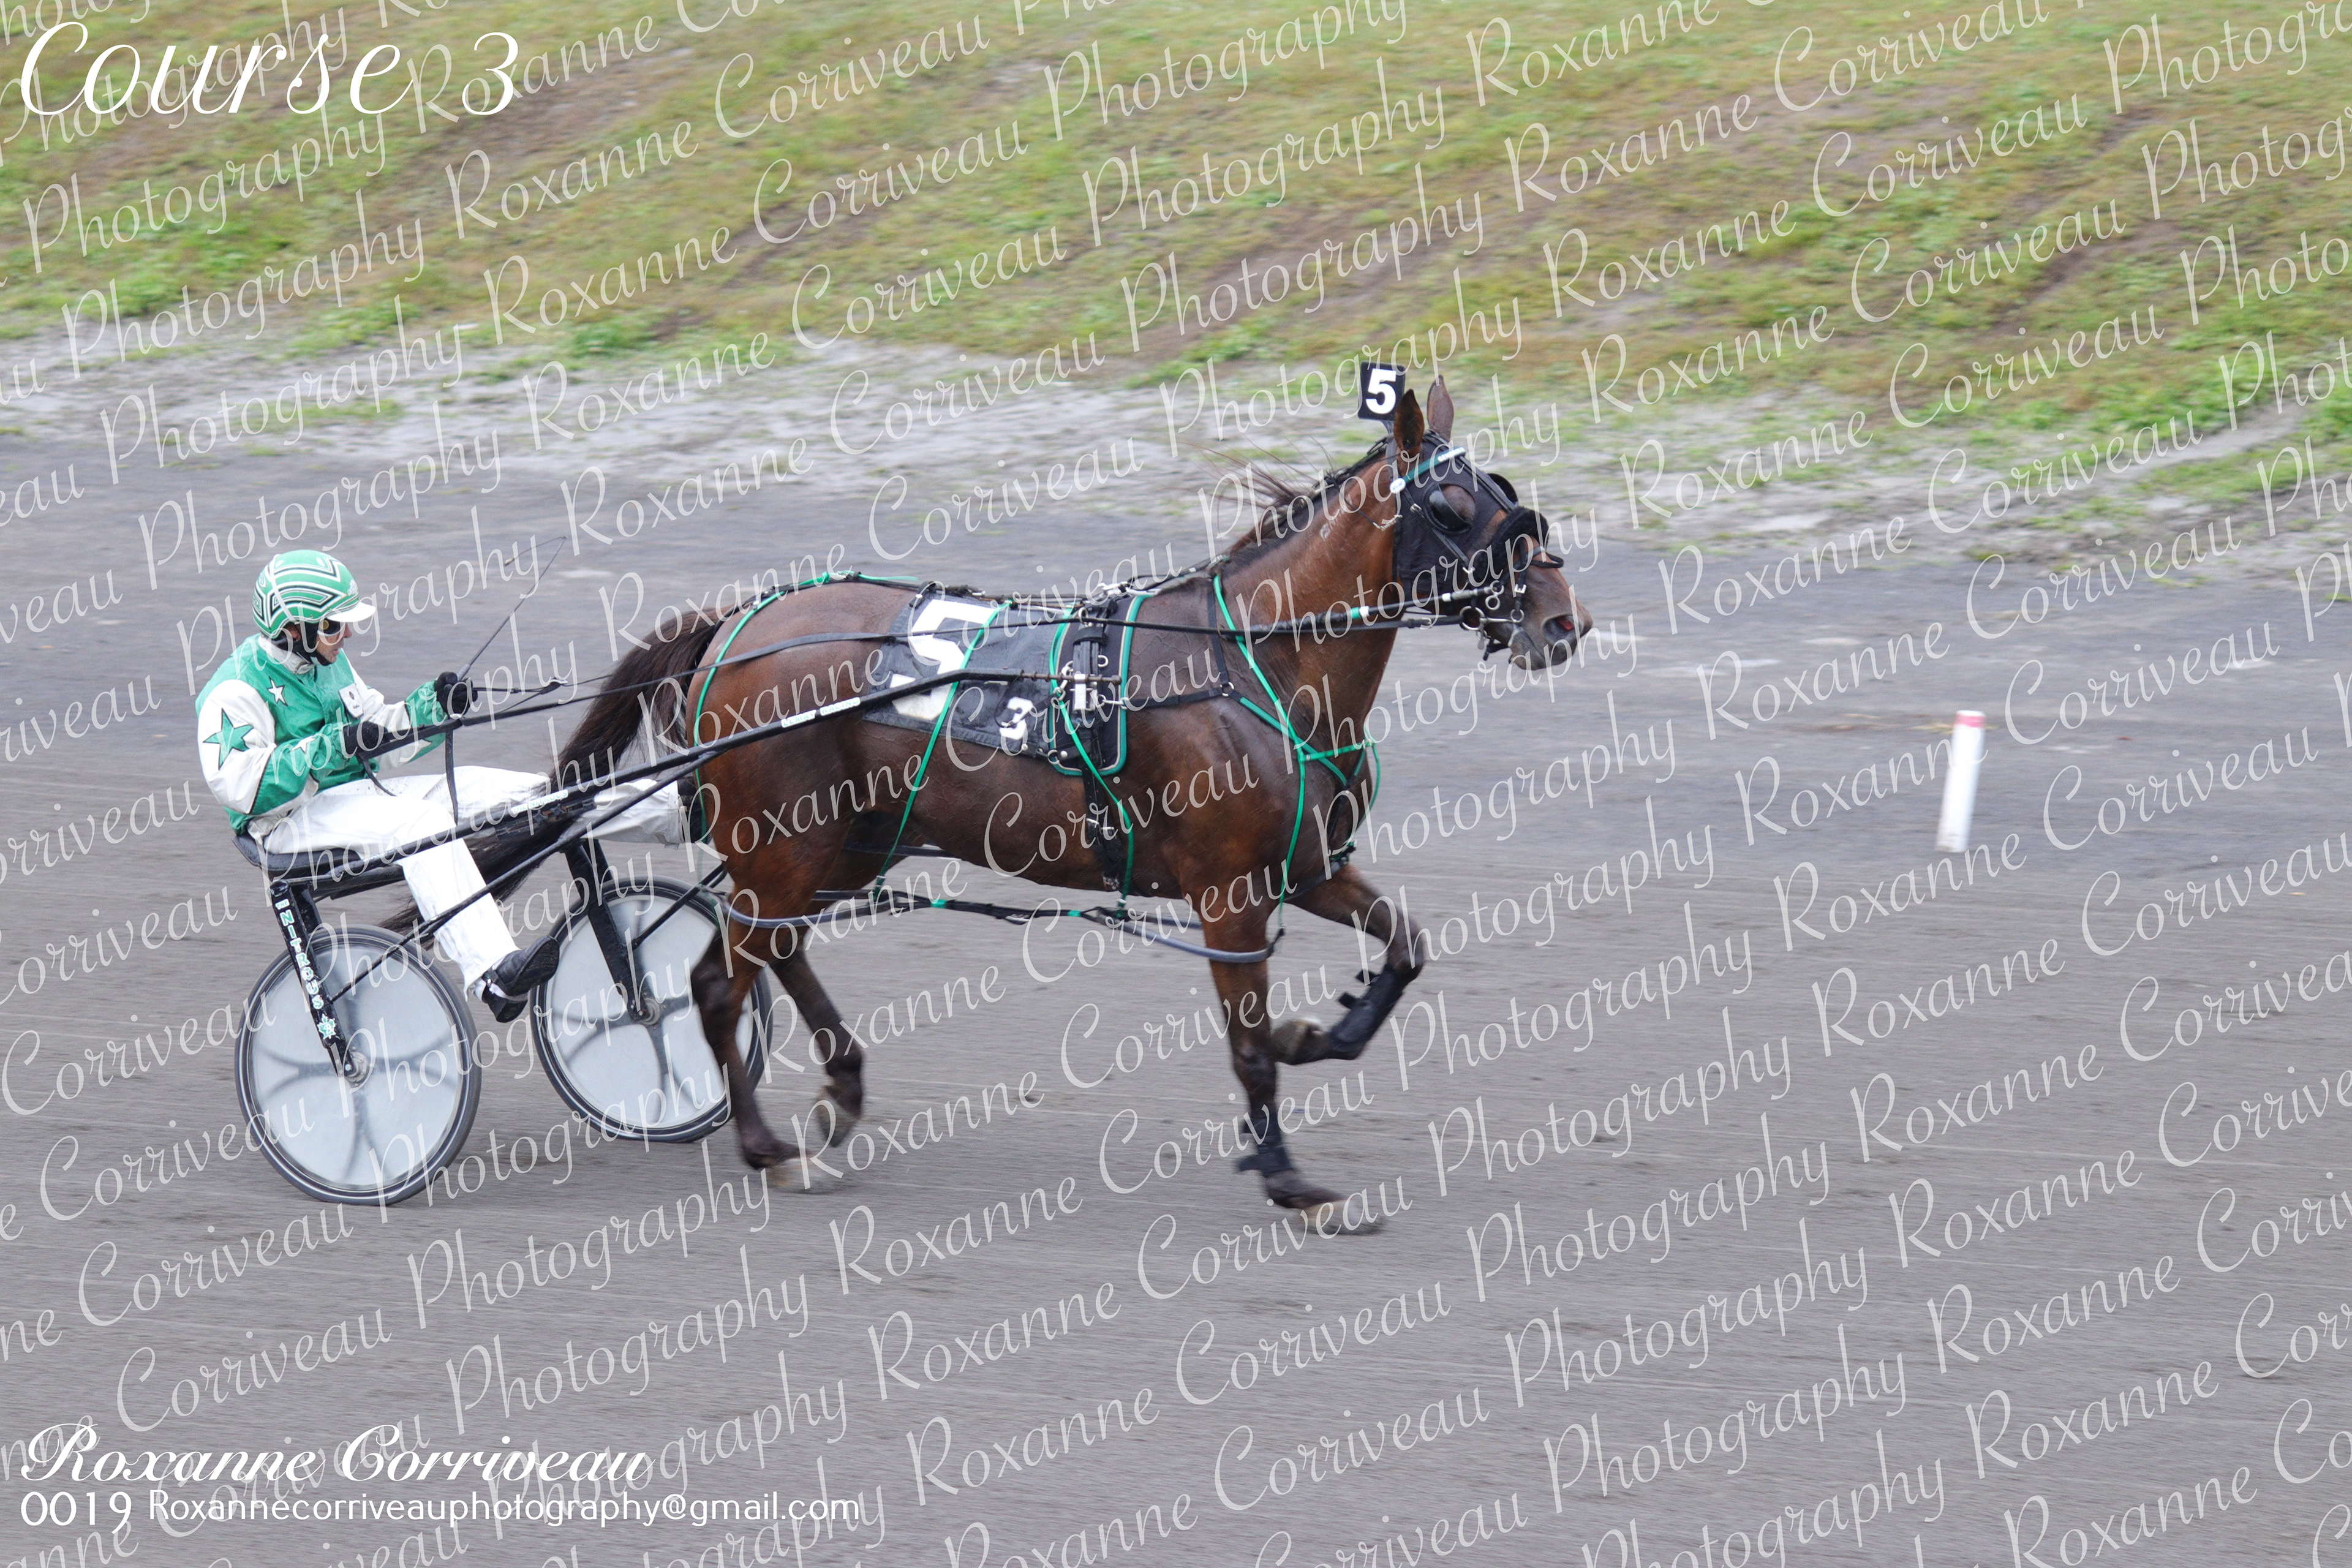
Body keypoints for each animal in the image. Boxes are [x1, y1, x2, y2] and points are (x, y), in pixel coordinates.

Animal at [552, 378, 1591, 1221]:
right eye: (1453, 508)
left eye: (1506, 494)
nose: (1563, 623)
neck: (1252, 668)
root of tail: (737, 623)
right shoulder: (1229, 895)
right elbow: (1248, 1046)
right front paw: (1290, 1179)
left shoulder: (1305, 867)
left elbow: (1404, 950)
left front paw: (1317, 1035)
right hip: (784, 847)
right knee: (717, 982)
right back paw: (768, 1147)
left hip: (843, 844)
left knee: (776, 952)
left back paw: (839, 1091)